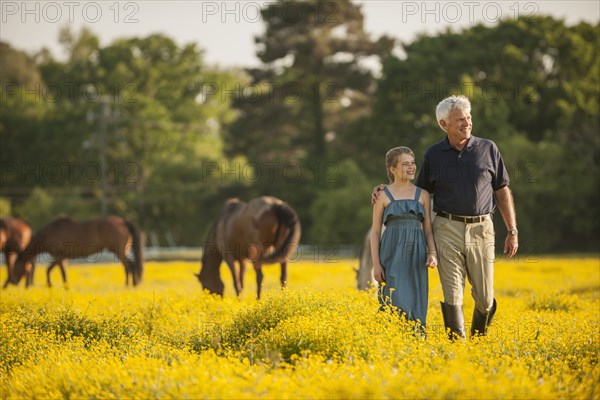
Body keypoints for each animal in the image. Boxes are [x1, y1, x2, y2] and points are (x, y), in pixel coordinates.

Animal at [9, 216, 143, 288]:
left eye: (16, 267)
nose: (13, 282)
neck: (48, 233)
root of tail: (123, 221)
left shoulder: (58, 256)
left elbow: (53, 271)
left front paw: (53, 285)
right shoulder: (63, 258)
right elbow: (59, 272)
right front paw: (63, 286)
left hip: (119, 251)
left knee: (129, 265)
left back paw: (129, 284)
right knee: (129, 265)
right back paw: (132, 284)